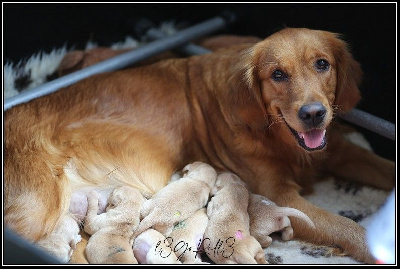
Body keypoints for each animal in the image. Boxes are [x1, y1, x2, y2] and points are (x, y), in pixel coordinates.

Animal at [4, 27, 396, 262]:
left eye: (322, 64)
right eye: (277, 74)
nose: (313, 114)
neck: (275, 135)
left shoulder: (339, 152)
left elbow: (385, 169)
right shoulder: (281, 195)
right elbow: (344, 226)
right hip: (37, 209)